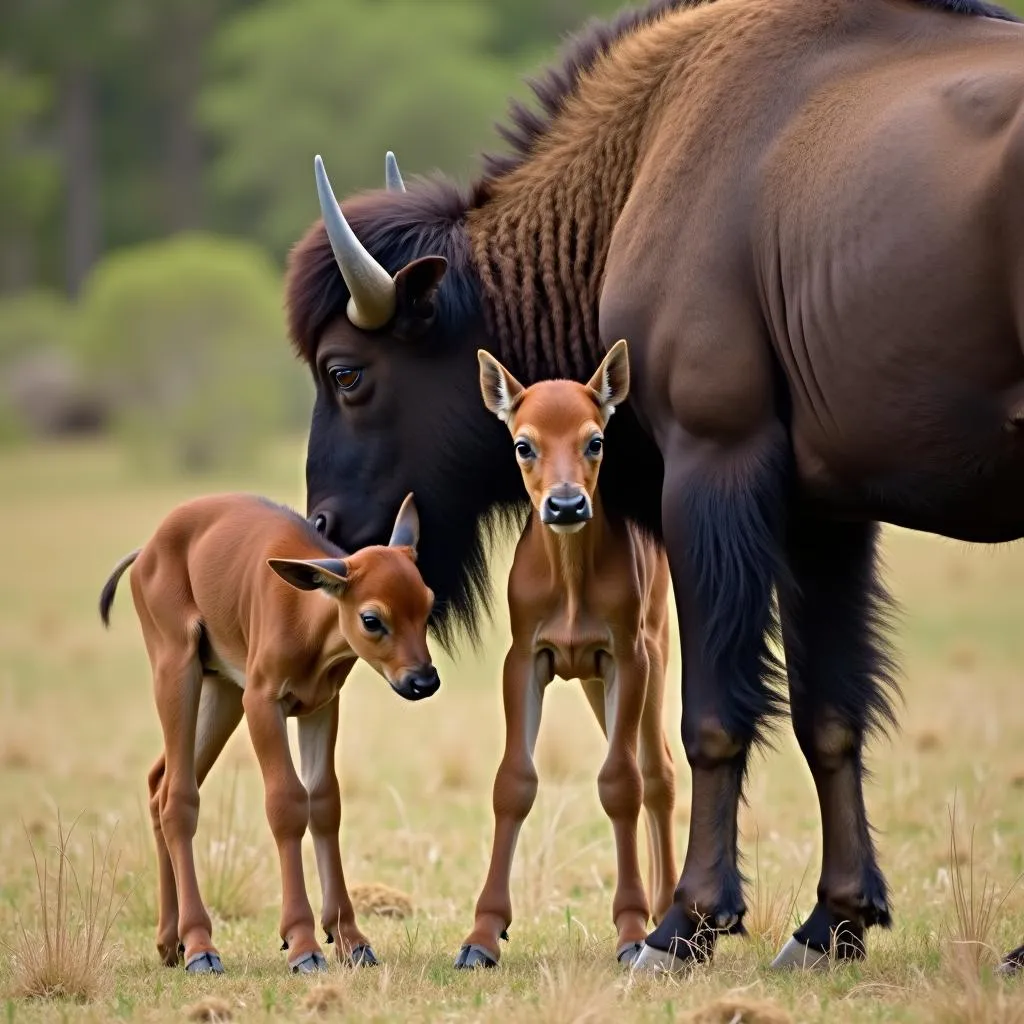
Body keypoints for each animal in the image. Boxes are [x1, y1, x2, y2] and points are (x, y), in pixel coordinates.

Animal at [100, 495, 440, 974]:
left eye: (427, 604)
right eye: (372, 619)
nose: (423, 681)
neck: (307, 615)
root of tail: (145, 553)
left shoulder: (321, 705)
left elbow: (325, 803)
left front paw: (350, 939)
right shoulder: (263, 702)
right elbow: (286, 804)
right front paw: (302, 943)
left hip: (222, 690)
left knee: (159, 783)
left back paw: (169, 942)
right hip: (177, 667)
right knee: (178, 798)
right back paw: (199, 945)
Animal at [454, 337, 675, 966]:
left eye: (595, 440)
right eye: (523, 443)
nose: (567, 505)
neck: (572, 584)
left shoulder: (627, 653)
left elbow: (621, 783)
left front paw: (630, 930)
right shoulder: (525, 655)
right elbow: (513, 782)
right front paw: (482, 936)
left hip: (653, 650)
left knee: (659, 768)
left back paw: (668, 908)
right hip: (598, 682)